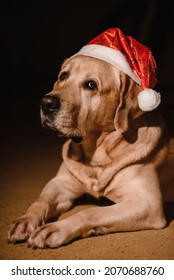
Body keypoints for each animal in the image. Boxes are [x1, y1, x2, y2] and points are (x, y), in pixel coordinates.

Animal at [7, 30, 174, 247]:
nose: (46, 103)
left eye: (91, 85)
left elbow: (91, 212)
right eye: (63, 76)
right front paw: (25, 220)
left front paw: (56, 228)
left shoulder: (147, 204)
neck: (96, 154)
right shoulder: (61, 183)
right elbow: (40, 201)